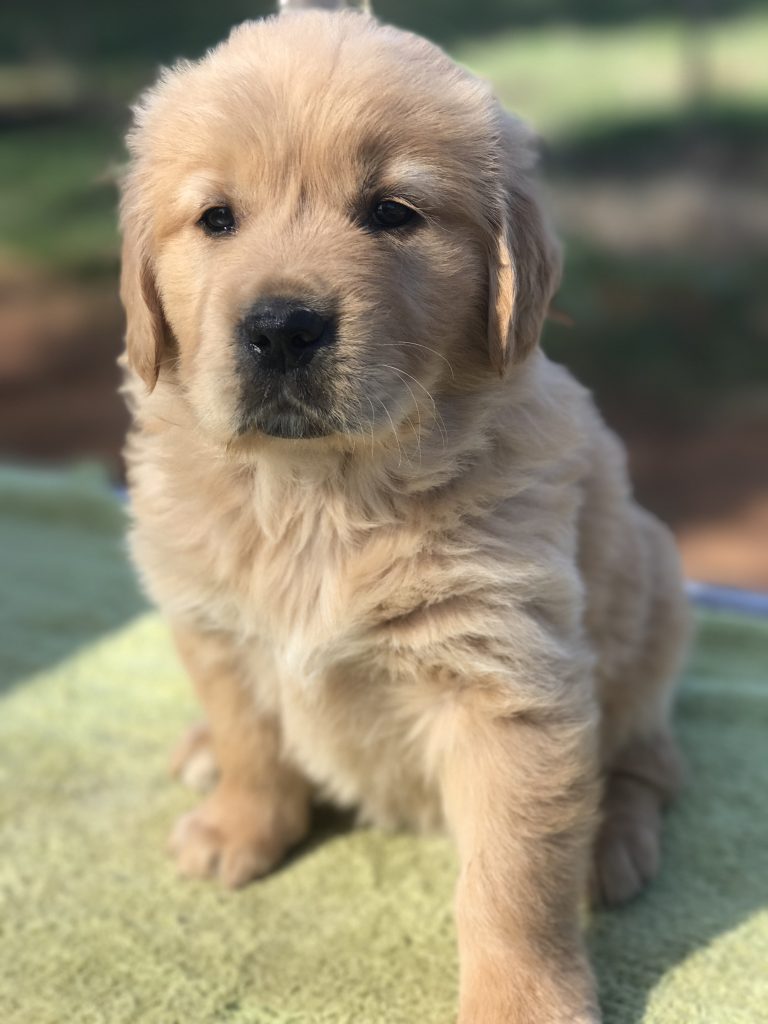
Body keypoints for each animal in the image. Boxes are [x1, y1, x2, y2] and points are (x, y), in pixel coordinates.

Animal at [121, 4, 692, 1019]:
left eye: (393, 212)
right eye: (216, 218)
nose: (282, 327)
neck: (316, 491)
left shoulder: (508, 681)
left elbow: (513, 877)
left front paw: (521, 1002)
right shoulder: (212, 625)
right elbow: (249, 736)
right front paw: (240, 826)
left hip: (654, 605)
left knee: (651, 763)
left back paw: (612, 843)